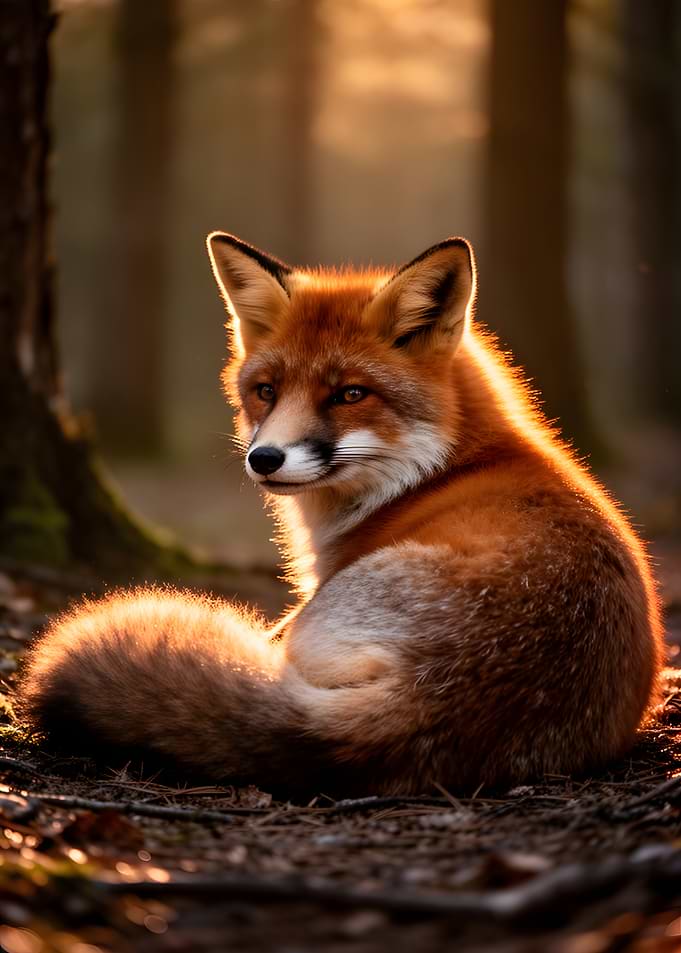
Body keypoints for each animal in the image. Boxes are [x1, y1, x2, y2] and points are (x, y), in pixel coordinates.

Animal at [18, 232, 662, 796]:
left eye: (350, 394)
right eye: (267, 390)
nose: (265, 458)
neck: (439, 469)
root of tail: (425, 701)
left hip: (314, 620)